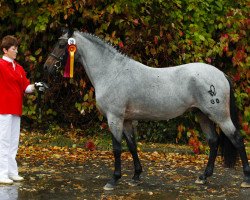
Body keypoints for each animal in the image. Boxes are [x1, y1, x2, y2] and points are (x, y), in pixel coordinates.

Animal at [43, 30, 250, 191]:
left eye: (61, 45)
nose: (46, 68)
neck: (112, 72)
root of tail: (220, 74)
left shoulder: (114, 118)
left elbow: (117, 148)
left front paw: (113, 180)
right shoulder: (126, 120)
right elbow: (132, 146)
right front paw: (136, 176)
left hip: (220, 116)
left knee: (237, 140)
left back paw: (246, 179)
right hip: (203, 115)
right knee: (214, 142)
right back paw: (203, 177)